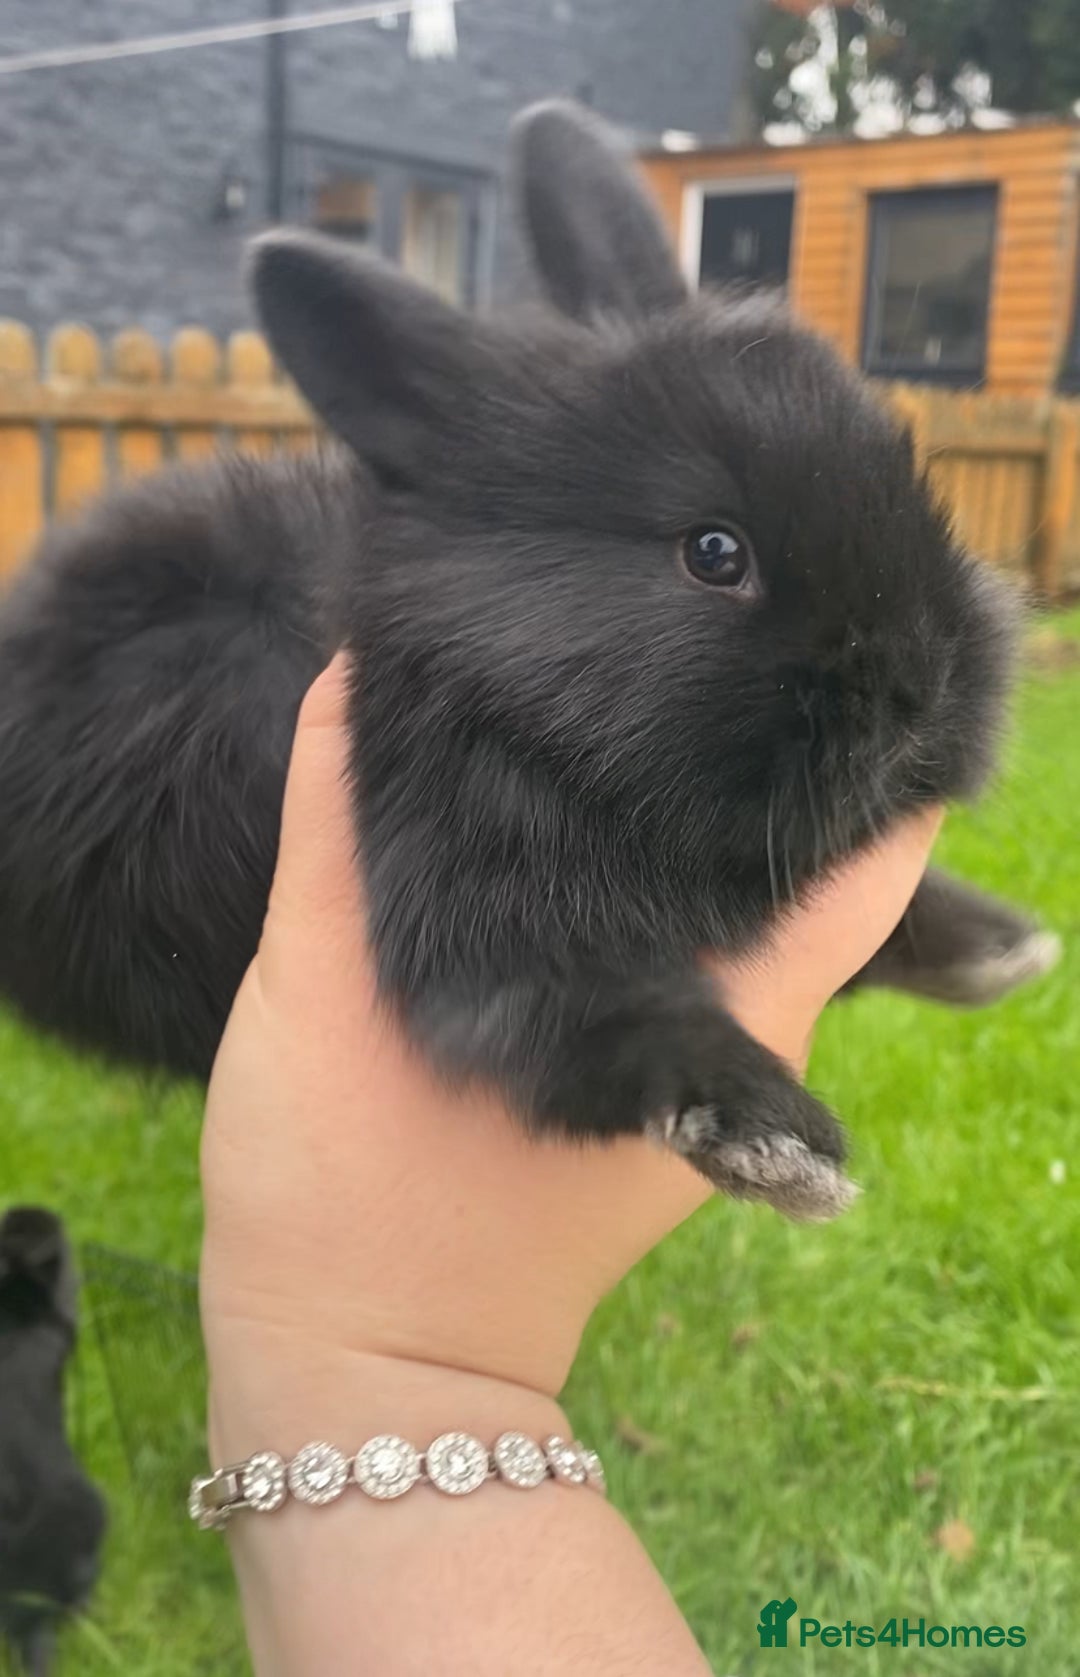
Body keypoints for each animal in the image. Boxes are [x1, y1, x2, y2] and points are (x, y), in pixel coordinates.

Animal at [0, 102, 1055, 1220]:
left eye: (910, 481)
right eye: (714, 552)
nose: (922, 688)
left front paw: (1001, 947)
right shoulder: (475, 919)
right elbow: (599, 1025)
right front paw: (776, 1143)